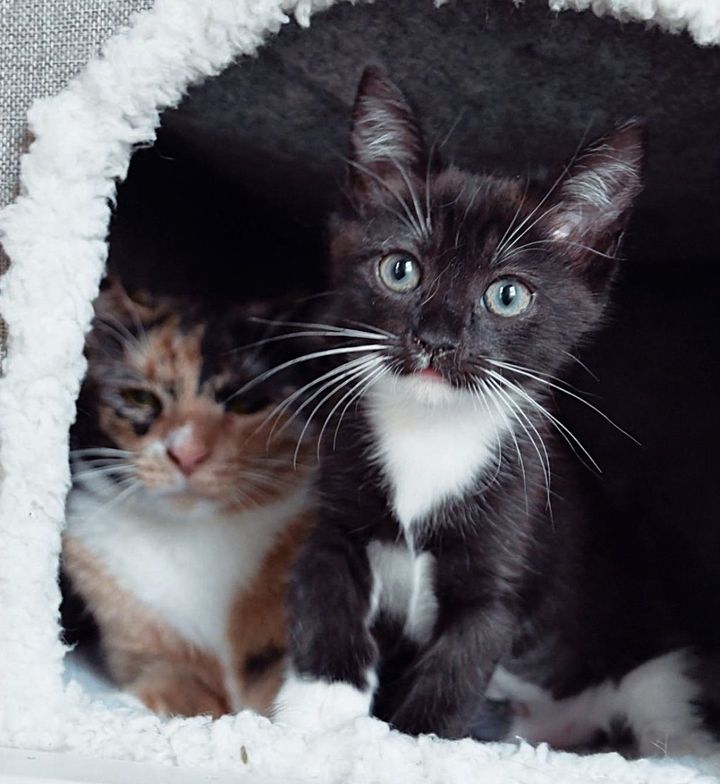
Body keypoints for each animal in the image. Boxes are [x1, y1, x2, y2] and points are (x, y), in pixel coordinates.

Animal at [272, 69, 716, 760]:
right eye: (400, 270)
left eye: (507, 295)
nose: (436, 339)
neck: (431, 435)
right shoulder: (336, 512)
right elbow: (324, 591)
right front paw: (316, 716)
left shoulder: (509, 544)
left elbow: (459, 665)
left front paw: (407, 747)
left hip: (653, 654)